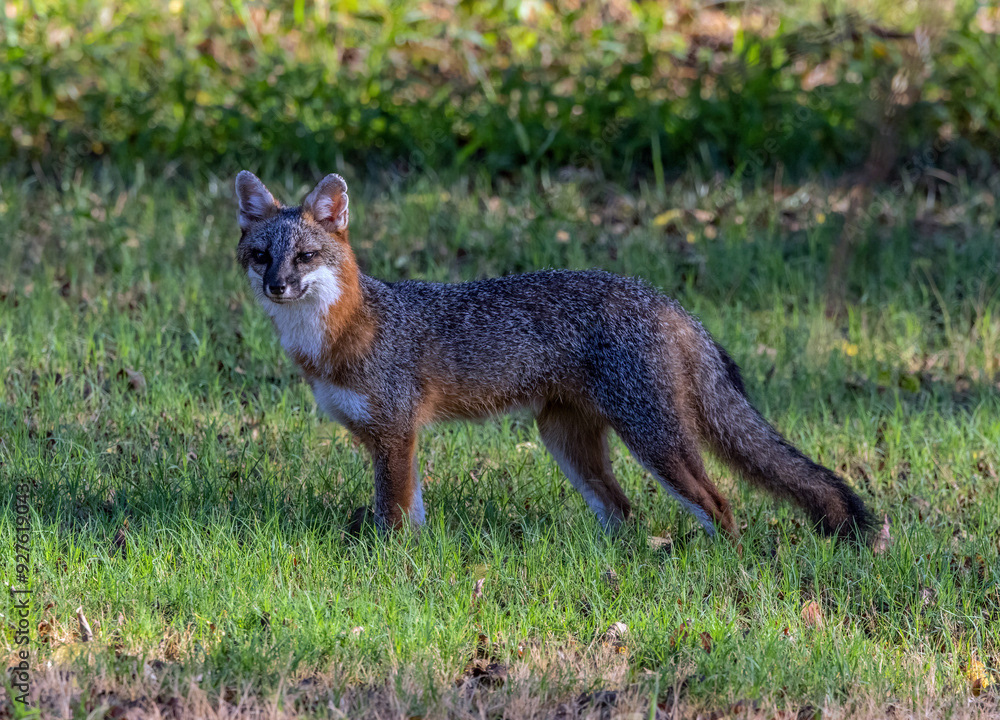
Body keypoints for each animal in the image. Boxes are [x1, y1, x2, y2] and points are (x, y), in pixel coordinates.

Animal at [234, 170, 874, 543]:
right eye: (261, 255)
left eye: (305, 256)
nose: (276, 286)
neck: (341, 334)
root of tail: (664, 299)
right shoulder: (393, 438)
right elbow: (411, 512)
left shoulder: (395, 433)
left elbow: (392, 515)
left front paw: (389, 567)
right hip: (567, 443)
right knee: (625, 515)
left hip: (655, 441)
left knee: (719, 505)